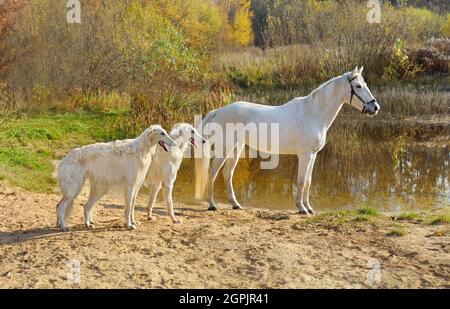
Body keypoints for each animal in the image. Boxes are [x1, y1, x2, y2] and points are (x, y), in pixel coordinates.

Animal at [196, 66, 380, 213]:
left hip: (236, 148)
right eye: (358, 86)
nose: (375, 107)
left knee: (228, 173)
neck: (312, 114)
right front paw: (302, 208)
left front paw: (309, 207)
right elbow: (301, 181)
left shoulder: (313, 156)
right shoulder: (305, 155)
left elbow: (308, 181)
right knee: (212, 172)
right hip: (224, 148)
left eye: (365, 84)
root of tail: (219, 111)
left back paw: (235, 204)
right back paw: (212, 205)